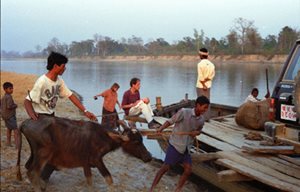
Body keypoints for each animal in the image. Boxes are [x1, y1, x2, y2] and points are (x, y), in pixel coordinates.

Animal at [15, 115, 152, 191]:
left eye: (142, 139)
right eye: (136, 142)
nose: (149, 157)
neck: (103, 137)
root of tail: (25, 122)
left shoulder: (86, 164)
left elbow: (90, 182)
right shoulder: (97, 160)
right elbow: (109, 179)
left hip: (35, 154)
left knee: (30, 169)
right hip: (43, 155)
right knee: (33, 173)